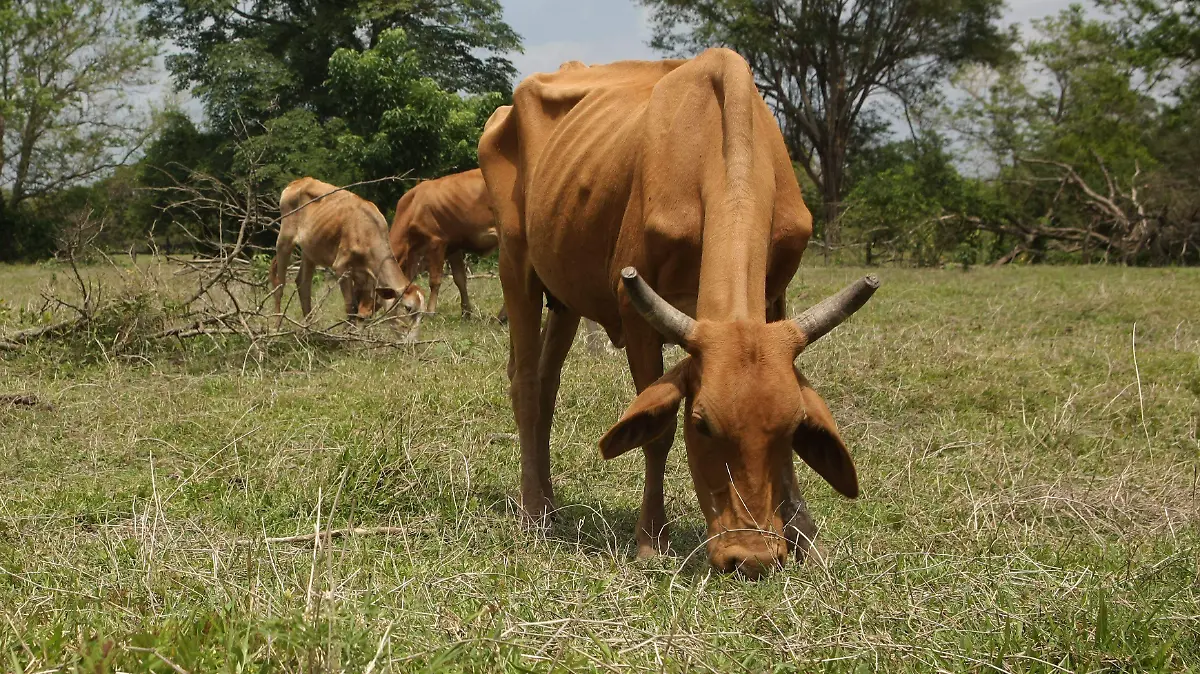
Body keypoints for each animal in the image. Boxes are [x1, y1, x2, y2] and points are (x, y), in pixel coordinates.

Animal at [274, 177, 424, 326]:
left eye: (422, 315)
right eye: (408, 308)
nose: (412, 332)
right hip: (284, 239)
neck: (368, 231)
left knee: (303, 283)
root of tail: (299, 181)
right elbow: (350, 307)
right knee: (279, 284)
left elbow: (360, 311)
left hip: (310, 250)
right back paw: (277, 325)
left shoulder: (364, 277)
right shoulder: (341, 267)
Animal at [388, 166, 501, 316]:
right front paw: (466, 312)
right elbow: (460, 279)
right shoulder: (452, 246)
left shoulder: (437, 242)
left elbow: (434, 280)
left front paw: (430, 312)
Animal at [477, 51, 883, 578]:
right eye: (702, 425)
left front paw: (805, 537)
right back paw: (532, 513)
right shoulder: (635, 313)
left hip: (565, 293)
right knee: (525, 381)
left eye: (792, 429)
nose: (751, 558)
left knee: (547, 383)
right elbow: (657, 430)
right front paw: (652, 539)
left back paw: (548, 504)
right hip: (515, 263)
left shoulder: (776, 299)